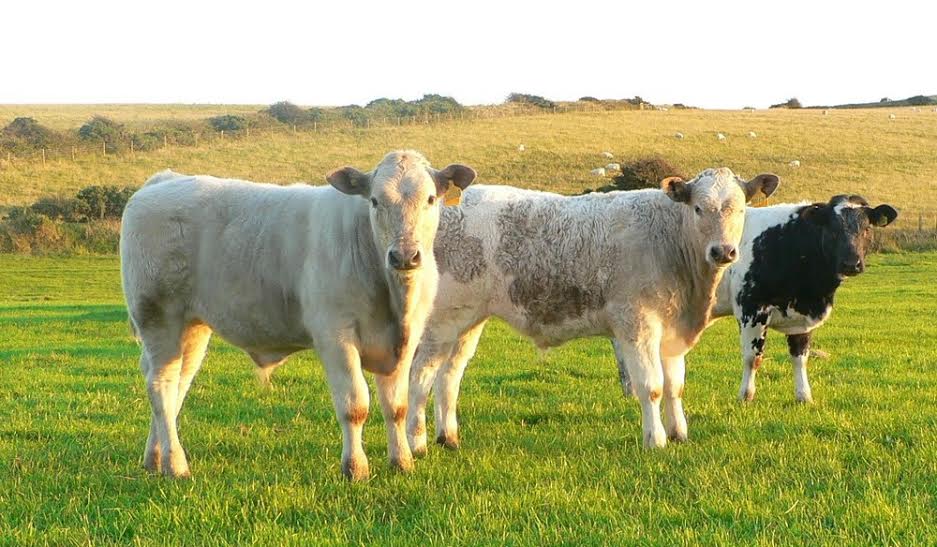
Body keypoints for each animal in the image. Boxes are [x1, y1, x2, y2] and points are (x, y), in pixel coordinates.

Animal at [120, 150, 476, 480]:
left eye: (430, 198)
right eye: (375, 201)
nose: (404, 255)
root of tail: (164, 180)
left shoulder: (406, 339)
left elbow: (396, 406)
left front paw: (401, 461)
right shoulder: (335, 335)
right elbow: (354, 405)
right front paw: (355, 468)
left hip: (192, 327)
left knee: (176, 386)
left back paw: (155, 457)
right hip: (158, 317)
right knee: (161, 385)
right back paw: (176, 464)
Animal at [406, 168, 780, 456]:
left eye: (741, 209)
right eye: (699, 208)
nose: (723, 251)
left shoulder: (672, 330)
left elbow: (675, 386)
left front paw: (679, 433)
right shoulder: (637, 324)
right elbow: (651, 386)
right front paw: (656, 440)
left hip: (467, 322)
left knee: (449, 376)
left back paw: (448, 437)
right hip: (439, 324)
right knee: (420, 377)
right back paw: (417, 444)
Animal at [614, 194, 897, 403]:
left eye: (866, 228)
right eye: (833, 230)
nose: (852, 263)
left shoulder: (801, 316)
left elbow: (800, 356)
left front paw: (804, 396)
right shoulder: (751, 308)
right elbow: (753, 357)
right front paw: (746, 396)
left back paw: (629, 390)